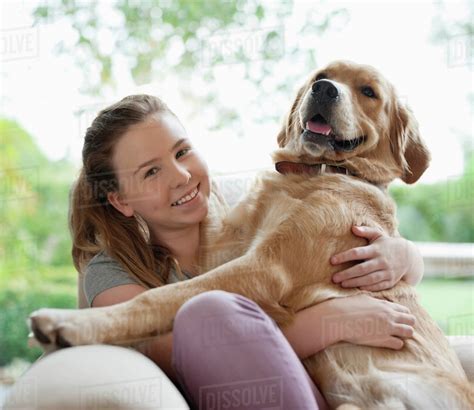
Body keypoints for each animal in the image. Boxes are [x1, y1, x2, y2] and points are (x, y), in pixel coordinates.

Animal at [31, 61, 472, 410]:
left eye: (368, 92)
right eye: (322, 75)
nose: (324, 89)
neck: (316, 173)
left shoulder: (265, 267)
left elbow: (157, 297)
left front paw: (69, 324)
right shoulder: (225, 250)